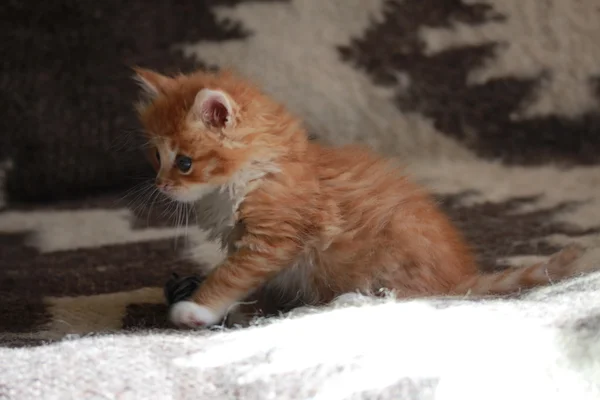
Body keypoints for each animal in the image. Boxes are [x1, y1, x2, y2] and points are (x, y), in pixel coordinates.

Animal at [134, 66, 588, 328]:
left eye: (185, 163)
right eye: (155, 156)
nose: (161, 185)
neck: (254, 174)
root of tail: (456, 276)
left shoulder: (274, 238)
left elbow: (230, 275)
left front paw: (196, 308)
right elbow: (245, 281)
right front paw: (228, 305)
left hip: (393, 251)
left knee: (408, 298)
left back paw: (343, 301)